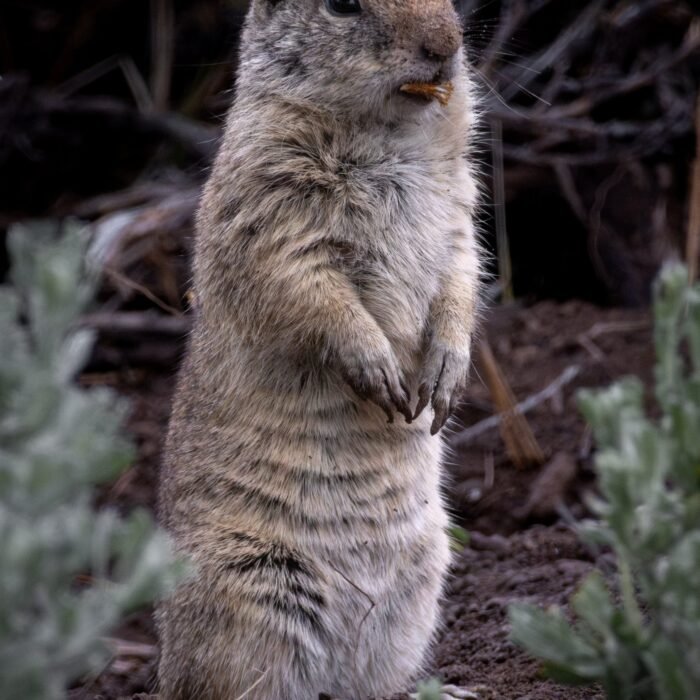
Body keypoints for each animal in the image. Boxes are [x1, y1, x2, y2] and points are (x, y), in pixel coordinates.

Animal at [157, 0, 481, 698]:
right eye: (342, 5)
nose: (445, 46)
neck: (392, 136)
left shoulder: (461, 218)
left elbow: (461, 283)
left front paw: (442, 380)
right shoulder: (272, 209)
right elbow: (313, 293)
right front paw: (381, 371)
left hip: (419, 586)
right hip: (250, 591)